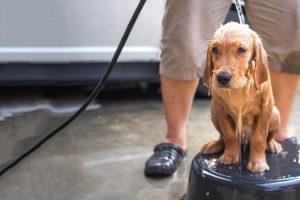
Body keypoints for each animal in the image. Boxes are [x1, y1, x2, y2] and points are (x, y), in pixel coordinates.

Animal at [200, 21, 282, 172]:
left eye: (241, 50)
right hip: (213, 113)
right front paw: (230, 156)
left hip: (275, 114)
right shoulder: (220, 109)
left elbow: (259, 137)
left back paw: (272, 144)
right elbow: (229, 134)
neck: (240, 87)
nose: (222, 77)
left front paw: (258, 163)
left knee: (270, 137)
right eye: (214, 49)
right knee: (222, 137)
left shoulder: (266, 108)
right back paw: (215, 144)